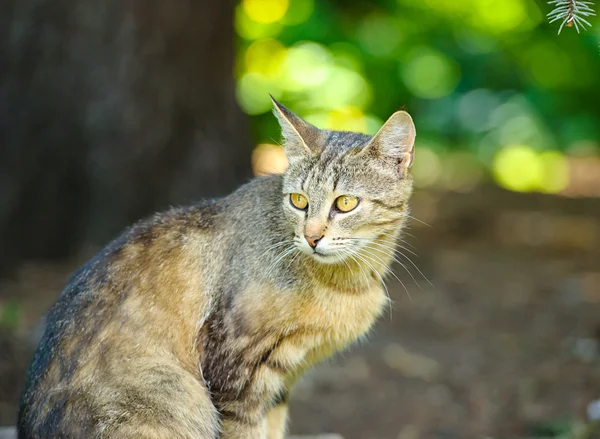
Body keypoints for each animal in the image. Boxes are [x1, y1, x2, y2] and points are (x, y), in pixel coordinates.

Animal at [16, 99, 414, 439]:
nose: (312, 236)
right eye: (298, 201)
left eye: (345, 203)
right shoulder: (236, 378)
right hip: (174, 394)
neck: (343, 282)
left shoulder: (279, 386)